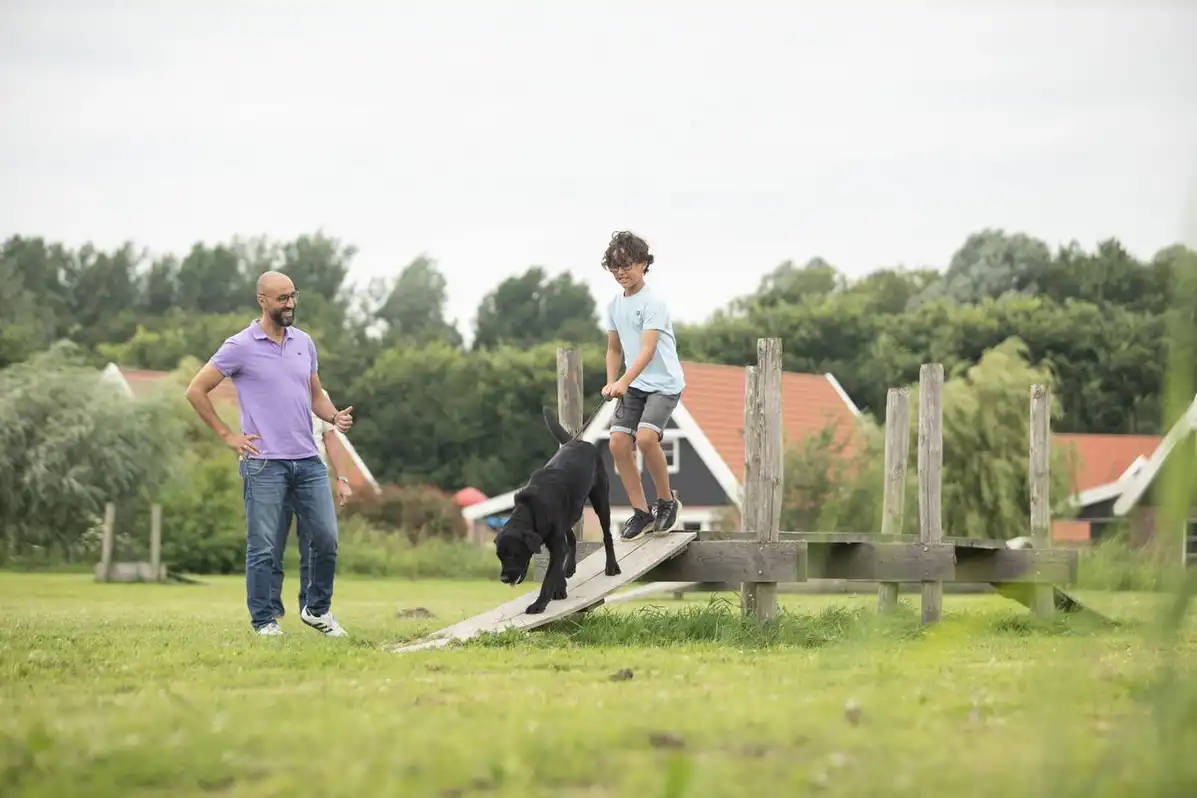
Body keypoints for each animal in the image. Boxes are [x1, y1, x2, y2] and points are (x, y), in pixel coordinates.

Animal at [494, 406, 622, 614]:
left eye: (513, 554)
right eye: (500, 556)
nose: (504, 579)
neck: (531, 510)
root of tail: (577, 441)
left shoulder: (555, 541)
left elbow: (548, 578)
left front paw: (538, 605)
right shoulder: (553, 540)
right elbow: (557, 565)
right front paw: (560, 588)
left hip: (600, 500)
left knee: (607, 535)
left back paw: (612, 566)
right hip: (570, 515)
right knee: (571, 538)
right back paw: (570, 567)